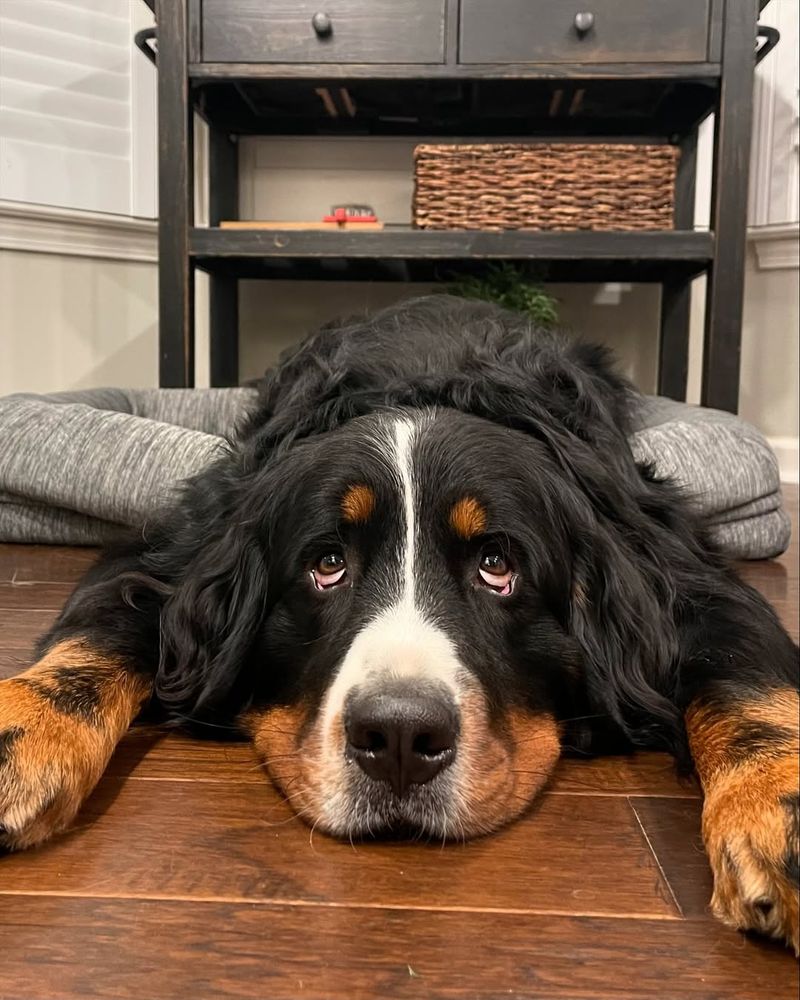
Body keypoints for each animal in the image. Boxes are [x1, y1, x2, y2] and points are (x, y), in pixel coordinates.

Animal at [1, 292, 800, 948]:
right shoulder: (175, 552)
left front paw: (781, 811)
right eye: (326, 563)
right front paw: (23, 728)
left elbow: (749, 682)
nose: (400, 737)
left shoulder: (683, 575)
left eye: (498, 565)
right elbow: (98, 632)